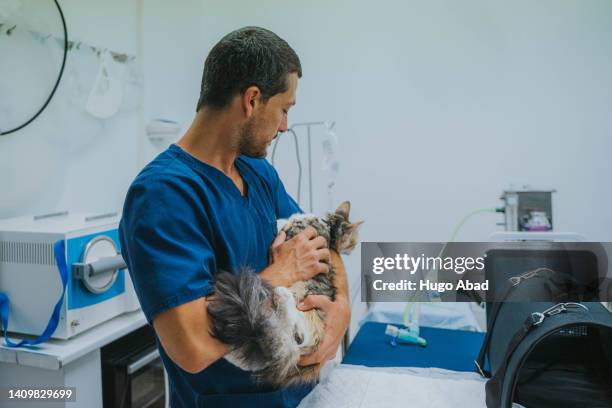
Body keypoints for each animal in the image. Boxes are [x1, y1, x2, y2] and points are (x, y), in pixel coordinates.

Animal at [208, 202, 360, 388]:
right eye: (352, 242)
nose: (352, 249)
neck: (327, 225)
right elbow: (288, 219)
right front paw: (281, 219)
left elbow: (286, 223)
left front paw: (279, 221)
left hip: (300, 317)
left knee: (293, 337)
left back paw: (281, 295)